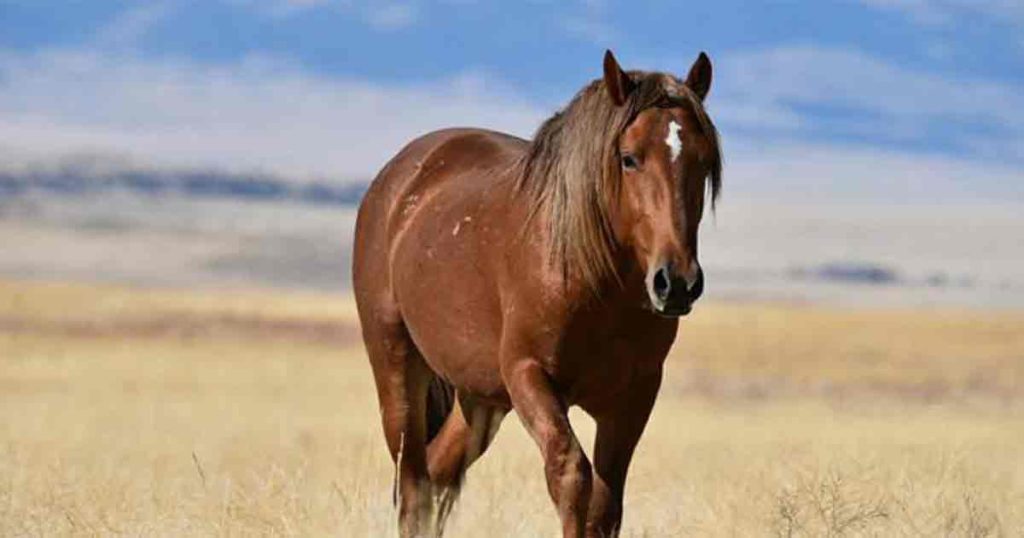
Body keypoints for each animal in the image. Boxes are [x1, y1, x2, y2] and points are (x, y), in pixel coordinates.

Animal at [352, 49, 723, 538]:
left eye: (703, 161)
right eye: (628, 159)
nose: (676, 282)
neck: (595, 284)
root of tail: (398, 180)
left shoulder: (635, 393)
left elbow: (606, 503)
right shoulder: (529, 374)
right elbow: (570, 474)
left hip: (480, 397)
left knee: (438, 476)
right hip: (396, 364)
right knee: (413, 484)